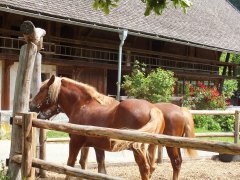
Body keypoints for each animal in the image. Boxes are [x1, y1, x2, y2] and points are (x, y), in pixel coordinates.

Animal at [30, 75, 165, 179]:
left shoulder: (75, 142)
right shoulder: (95, 146)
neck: (82, 105)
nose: (31, 105)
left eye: (42, 89)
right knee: (152, 167)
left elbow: (70, 165)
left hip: (138, 148)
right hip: (151, 147)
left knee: (144, 168)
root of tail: (153, 109)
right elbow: (94, 168)